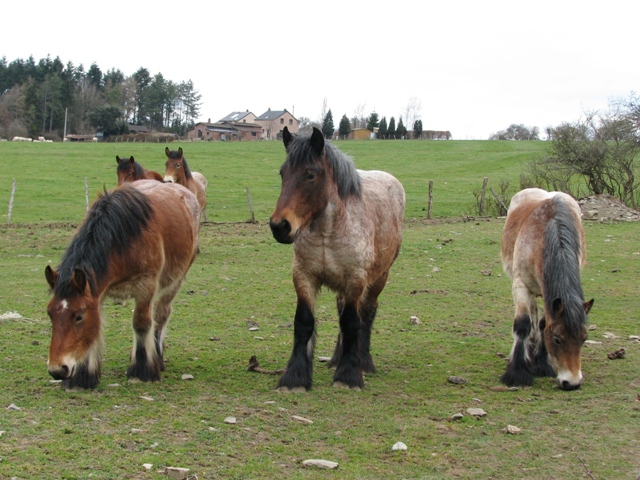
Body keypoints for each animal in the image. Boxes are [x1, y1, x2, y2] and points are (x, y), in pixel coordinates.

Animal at [44, 181, 200, 390]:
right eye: (50, 314)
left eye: (78, 316)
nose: (57, 370)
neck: (124, 241)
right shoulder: (97, 293)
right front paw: (83, 378)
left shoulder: (146, 286)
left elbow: (142, 323)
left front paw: (141, 371)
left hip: (174, 282)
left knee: (161, 316)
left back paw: (157, 359)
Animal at [270, 126, 404, 390]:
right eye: (282, 173)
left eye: (310, 174)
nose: (279, 226)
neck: (327, 232)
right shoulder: (304, 276)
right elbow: (304, 322)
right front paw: (295, 378)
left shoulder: (355, 279)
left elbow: (352, 322)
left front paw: (349, 376)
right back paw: (335, 359)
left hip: (378, 278)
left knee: (367, 313)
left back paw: (364, 362)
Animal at [500, 188, 596, 390]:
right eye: (558, 339)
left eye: (584, 338)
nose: (572, 383)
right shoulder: (520, 286)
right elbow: (523, 324)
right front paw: (517, 372)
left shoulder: (549, 296)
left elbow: (544, 324)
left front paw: (542, 364)